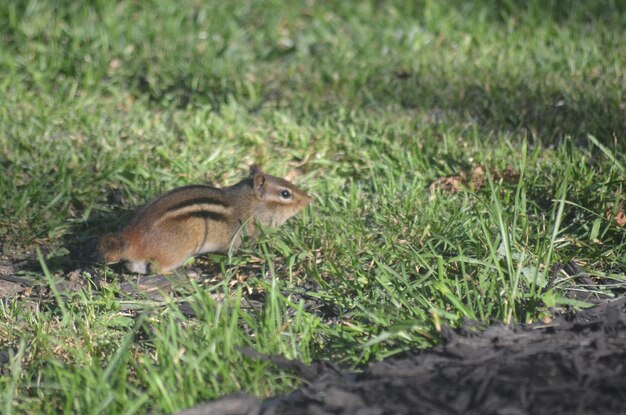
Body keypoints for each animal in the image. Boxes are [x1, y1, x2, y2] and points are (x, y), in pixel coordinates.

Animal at [97, 164, 310, 274]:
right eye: (285, 194)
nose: (309, 199)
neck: (248, 204)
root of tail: (130, 238)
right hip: (180, 249)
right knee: (158, 269)